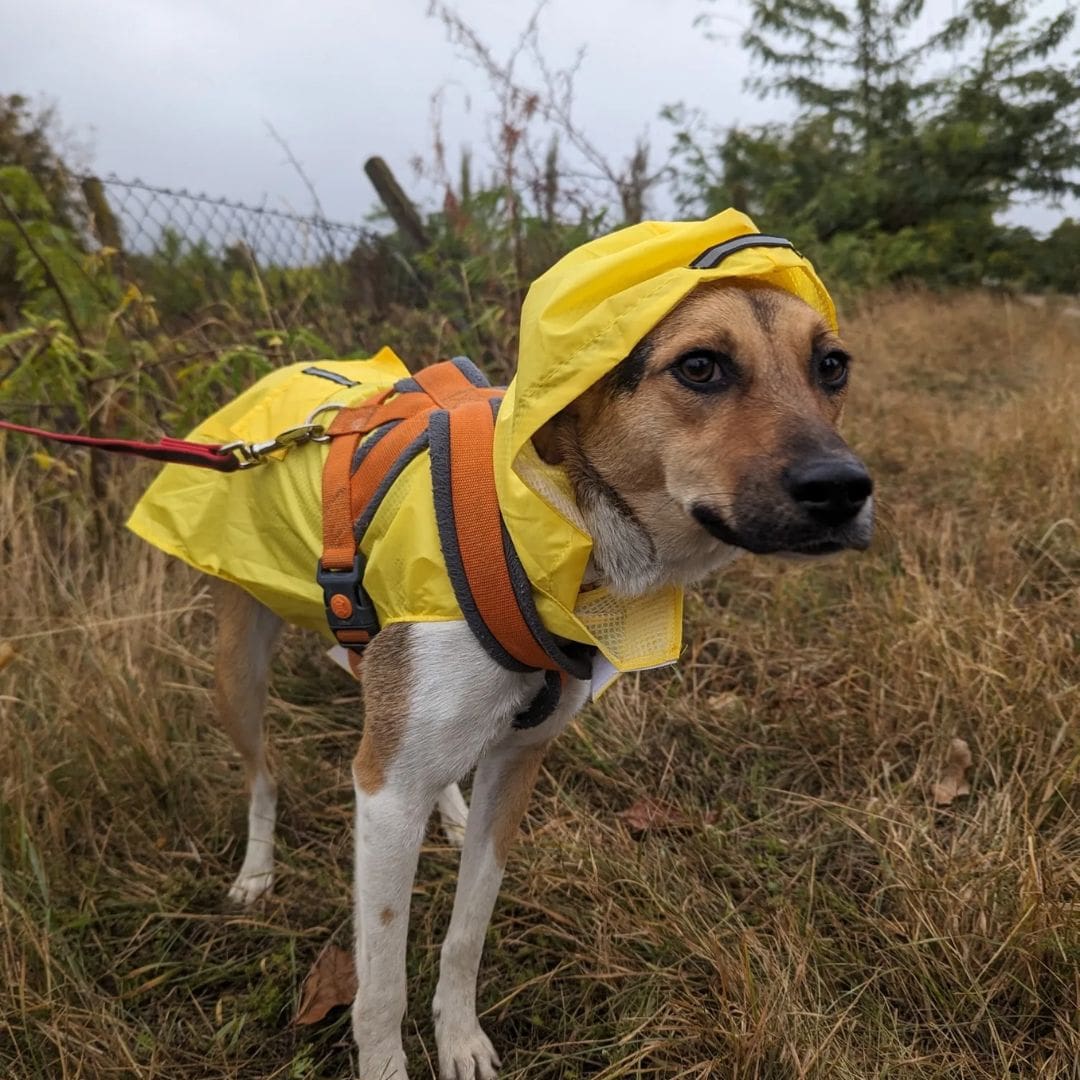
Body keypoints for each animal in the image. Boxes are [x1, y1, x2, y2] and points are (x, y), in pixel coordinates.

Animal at [130, 214, 872, 1075]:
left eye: (832, 365)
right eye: (699, 366)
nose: (844, 489)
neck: (549, 523)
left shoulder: (515, 765)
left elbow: (466, 933)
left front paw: (460, 1040)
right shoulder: (384, 796)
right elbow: (380, 987)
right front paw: (389, 1064)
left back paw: (442, 810)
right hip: (238, 666)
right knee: (264, 774)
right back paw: (256, 870)